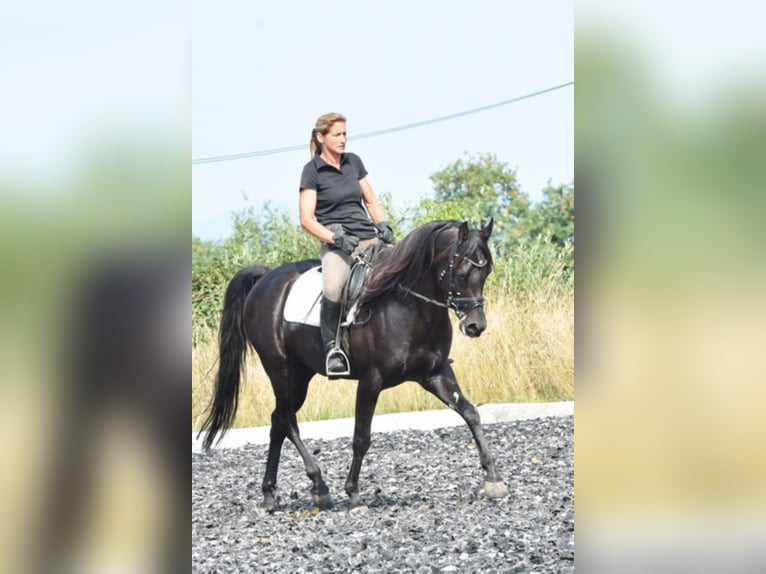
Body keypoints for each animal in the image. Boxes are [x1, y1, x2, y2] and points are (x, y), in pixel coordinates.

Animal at [198, 219, 508, 510]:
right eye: (462, 271)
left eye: (486, 272)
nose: (475, 326)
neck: (409, 306)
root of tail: (266, 279)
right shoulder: (371, 381)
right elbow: (361, 438)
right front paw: (354, 494)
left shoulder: (435, 373)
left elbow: (471, 413)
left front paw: (493, 480)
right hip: (281, 371)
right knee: (286, 420)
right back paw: (319, 487)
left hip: (300, 375)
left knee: (278, 421)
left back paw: (271, 494)